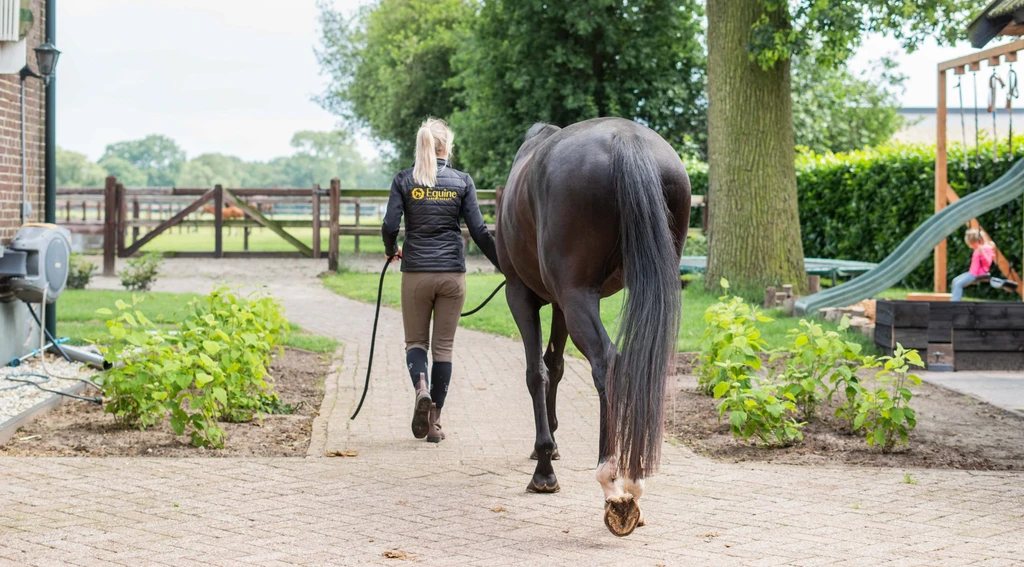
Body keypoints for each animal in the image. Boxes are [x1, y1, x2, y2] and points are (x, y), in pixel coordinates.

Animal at [495, 117, 690, 537]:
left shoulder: (522, 295)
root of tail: (627, 140)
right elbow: (555, 365)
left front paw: (544, 468)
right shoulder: (561, 304)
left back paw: (614, 484)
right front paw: (548, 446)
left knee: (607, 363)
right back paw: (633, 477)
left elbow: (536, 372)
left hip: (575, 295)